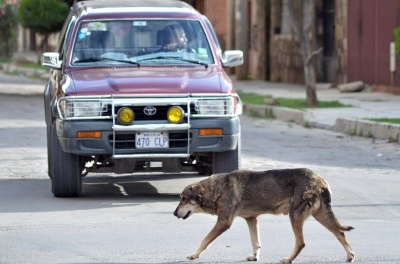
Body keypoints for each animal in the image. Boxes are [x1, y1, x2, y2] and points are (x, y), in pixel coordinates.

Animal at [173, 168, 354, 262]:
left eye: (183, 199)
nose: (174, 213)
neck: (218, 189)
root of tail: (321, 180)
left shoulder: (223, 222)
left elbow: (205, 241)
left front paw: (194, 255)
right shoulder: (251, 219)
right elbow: (256, 243)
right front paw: (255, 257)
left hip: (295, 217)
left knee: (301, 243)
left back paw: (288, 259)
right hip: (319, 216)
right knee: (340, 233)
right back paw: (350, 256)